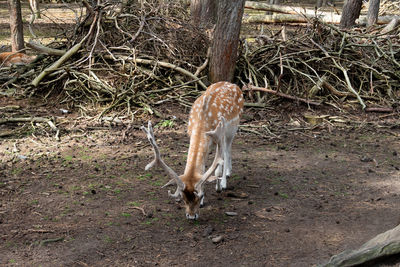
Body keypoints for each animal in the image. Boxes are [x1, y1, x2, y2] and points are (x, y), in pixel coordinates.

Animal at [142, 81, 245, 220]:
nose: (191, 216)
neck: (202, 123)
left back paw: (224, 180)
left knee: (228, 148)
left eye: (199, 196)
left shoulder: (220, 134)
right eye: (183, 198)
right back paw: (228, 172)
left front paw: (218, 187)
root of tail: (233, 84)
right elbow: (203, 169)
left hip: (233, 128)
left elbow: (217, 167)